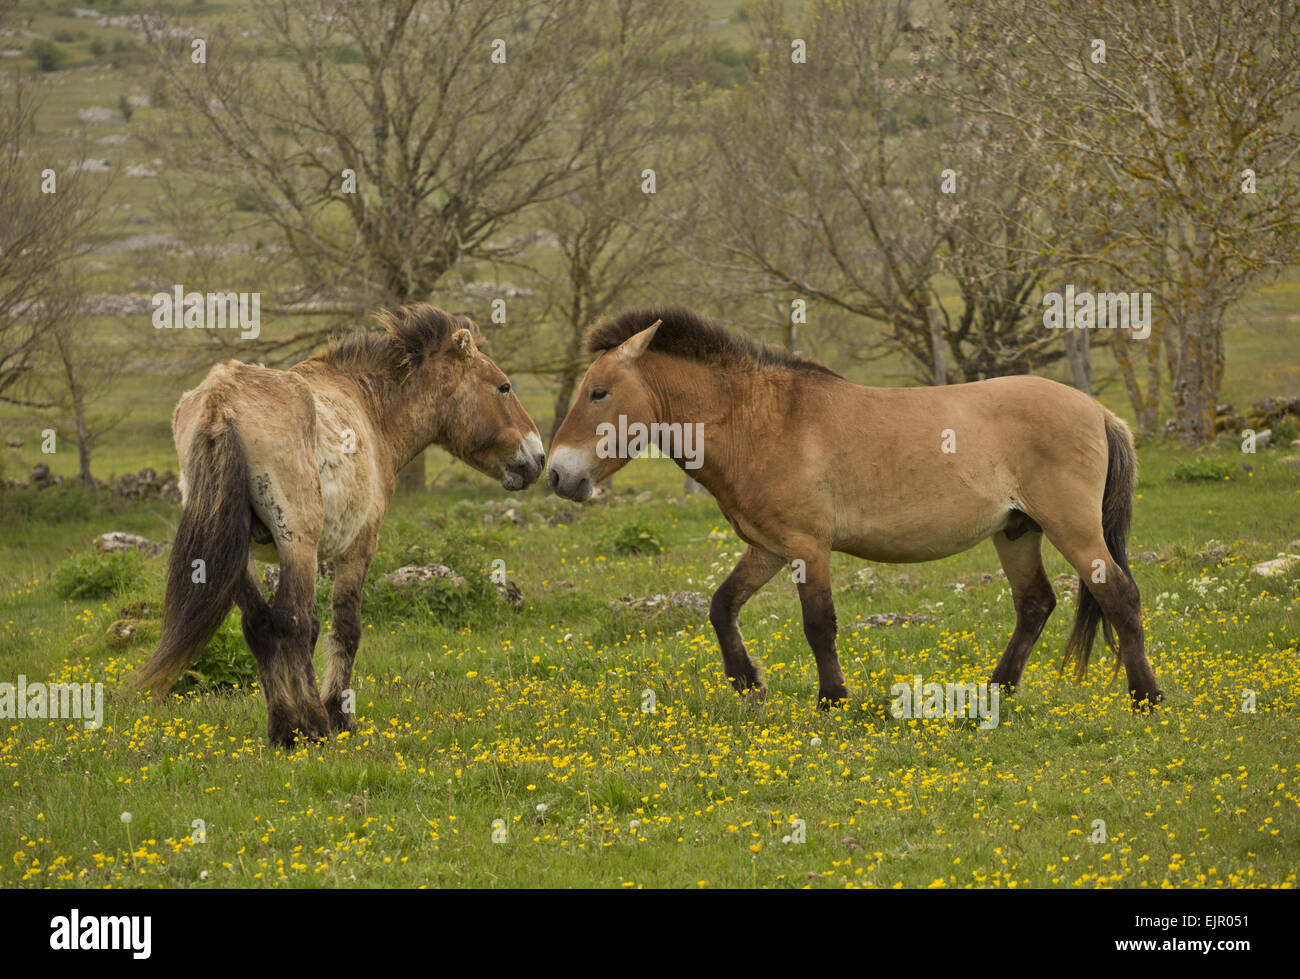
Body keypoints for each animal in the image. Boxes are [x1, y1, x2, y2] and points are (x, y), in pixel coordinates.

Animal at [126, 301, 543, 743]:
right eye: (503, 387)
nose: (537, 456)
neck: (369, 407)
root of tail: (221, 401)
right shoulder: (358, 547)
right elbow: (343, 628)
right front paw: (339, 715)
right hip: (297, 542)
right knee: (289, 622)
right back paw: (313, 723)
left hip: (241, 556)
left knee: (258, 624)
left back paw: (282, 728)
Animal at [548, 305, 1170, 712]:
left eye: (599, 392)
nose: (556, 472)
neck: (763, 420)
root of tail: (1098, 411)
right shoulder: (768, 548)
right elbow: (722, 606)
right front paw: (747, 682)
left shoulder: (807, 547)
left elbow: (818, 625)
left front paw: (832, 698)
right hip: (1018, 532)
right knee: (1035, 604)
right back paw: (997, 690)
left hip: (1071, 527)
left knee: (1119, 595)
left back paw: (1147, 696)